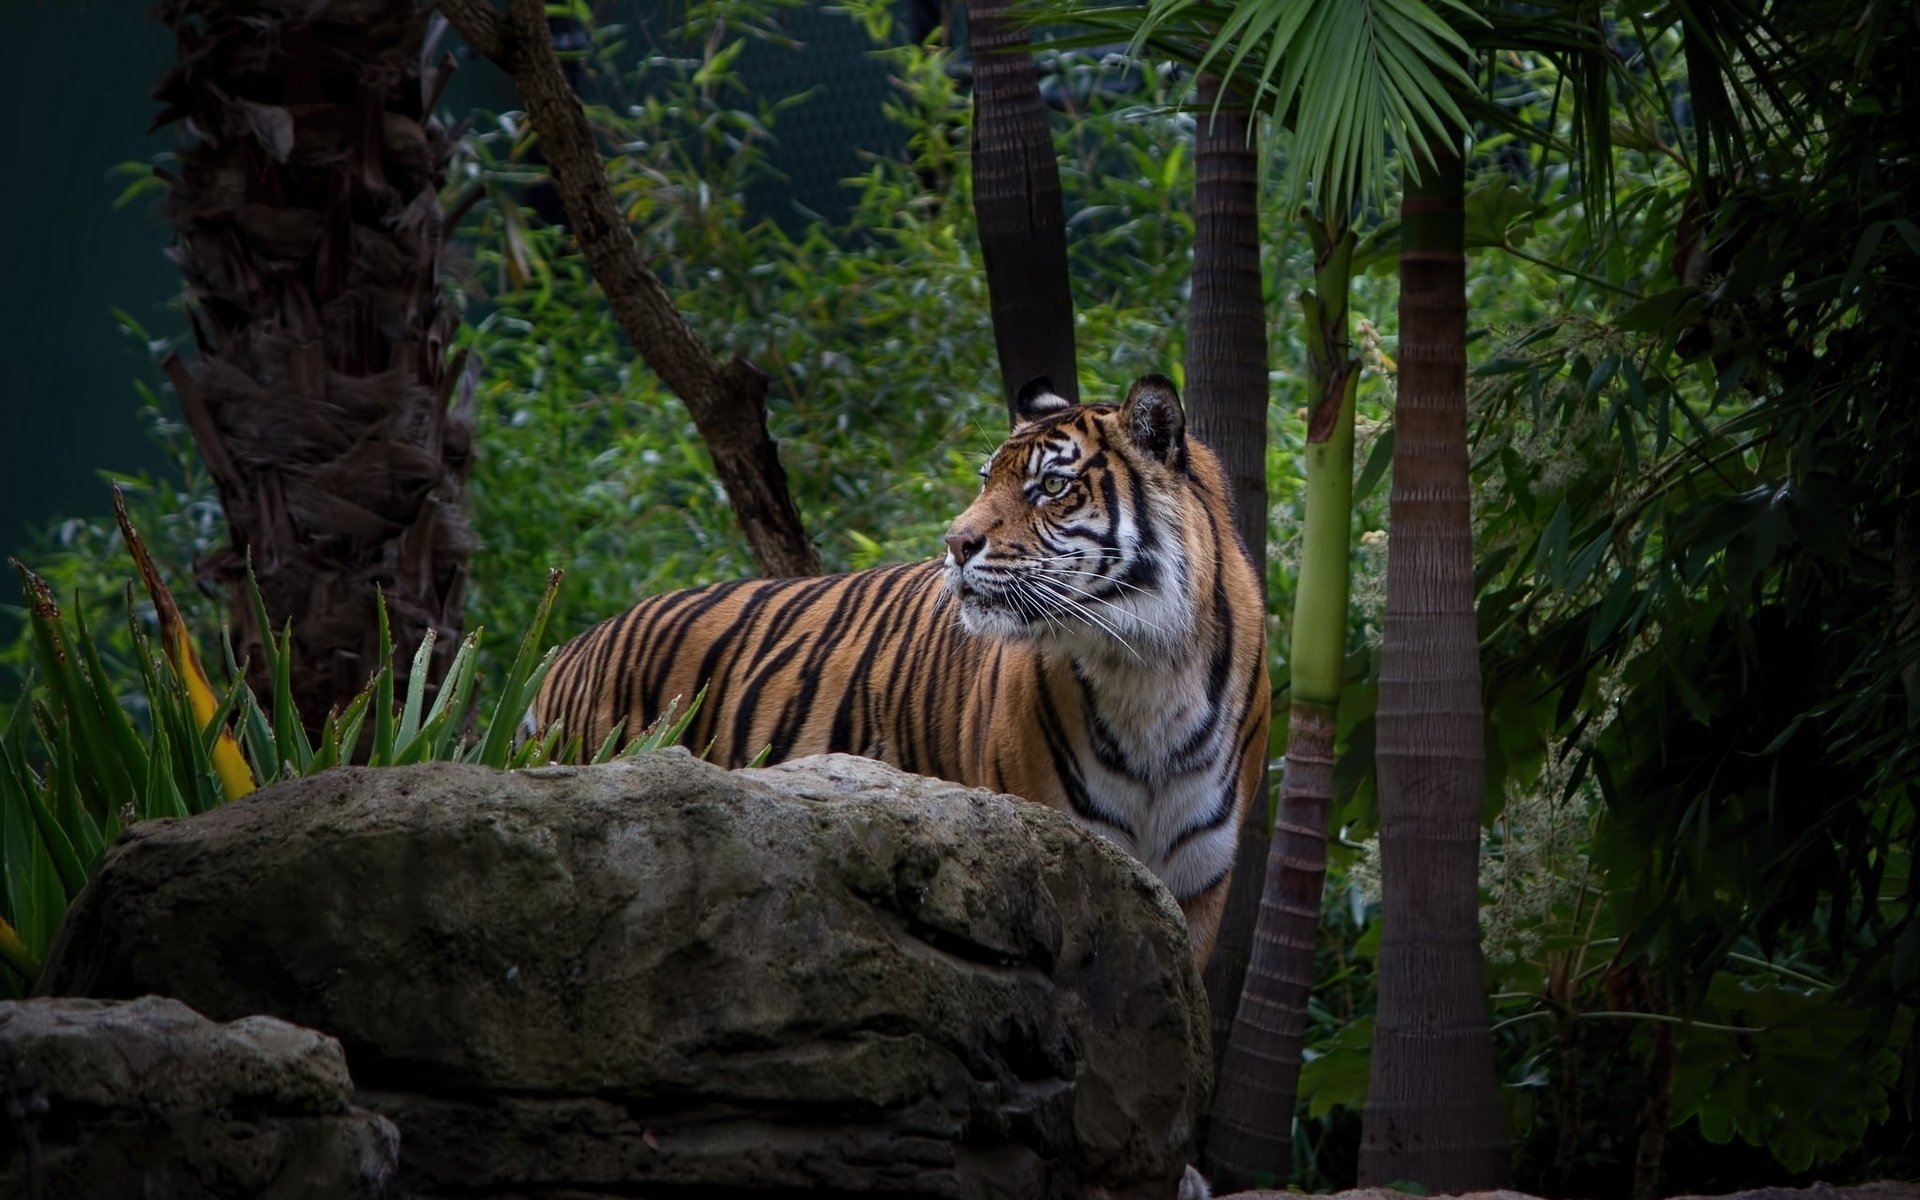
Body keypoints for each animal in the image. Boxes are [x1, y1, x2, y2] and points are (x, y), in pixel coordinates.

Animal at [533, 374, 1270, 966]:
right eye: (987, 479)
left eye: (1053, 486)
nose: (956, 542)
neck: (1147, 671)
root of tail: (565, 650)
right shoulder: (1062, 848)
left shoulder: (1198, 886)